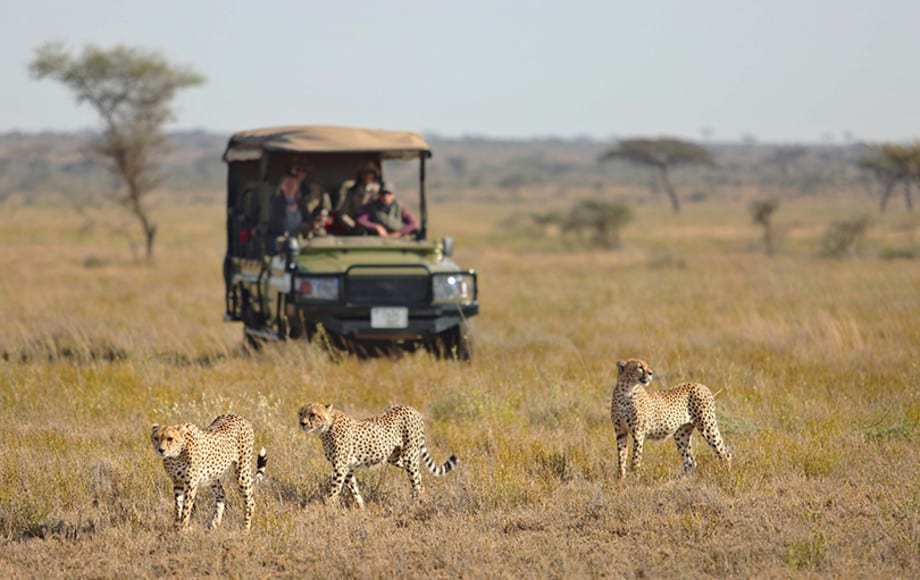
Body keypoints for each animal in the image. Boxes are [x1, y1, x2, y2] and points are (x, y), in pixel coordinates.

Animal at [298, 404, 456, 508]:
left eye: (313, 414)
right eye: (301, 413)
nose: (302, 423)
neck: (326, 428)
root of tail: (411, 408)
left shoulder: (340, 467)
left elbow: (334, 490)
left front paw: (327, 508)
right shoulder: (347, 467)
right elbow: (353, 488)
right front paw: (361, 508)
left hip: (410, 456)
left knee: (416, 480)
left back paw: (416, 504)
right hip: (395, 458)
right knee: (419, 476)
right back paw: (421, 497)